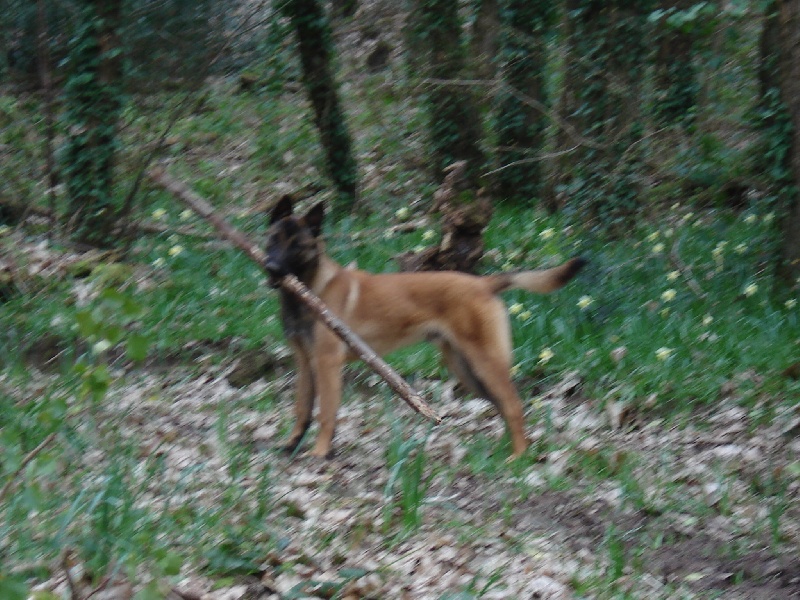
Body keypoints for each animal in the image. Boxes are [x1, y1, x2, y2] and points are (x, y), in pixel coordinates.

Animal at [264, 196, 586, 459]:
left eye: (297, 245)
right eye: (274, 239)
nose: (271, 268)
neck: (309, 290)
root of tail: (484, 284)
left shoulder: (327, 362)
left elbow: (326, 412)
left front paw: (320, 453)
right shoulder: (306, 361)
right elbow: (302, 408)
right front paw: (291, 445)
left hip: (485, 363)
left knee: (513, 405)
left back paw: (518, 457)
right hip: (466, 369)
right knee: (502, 405)